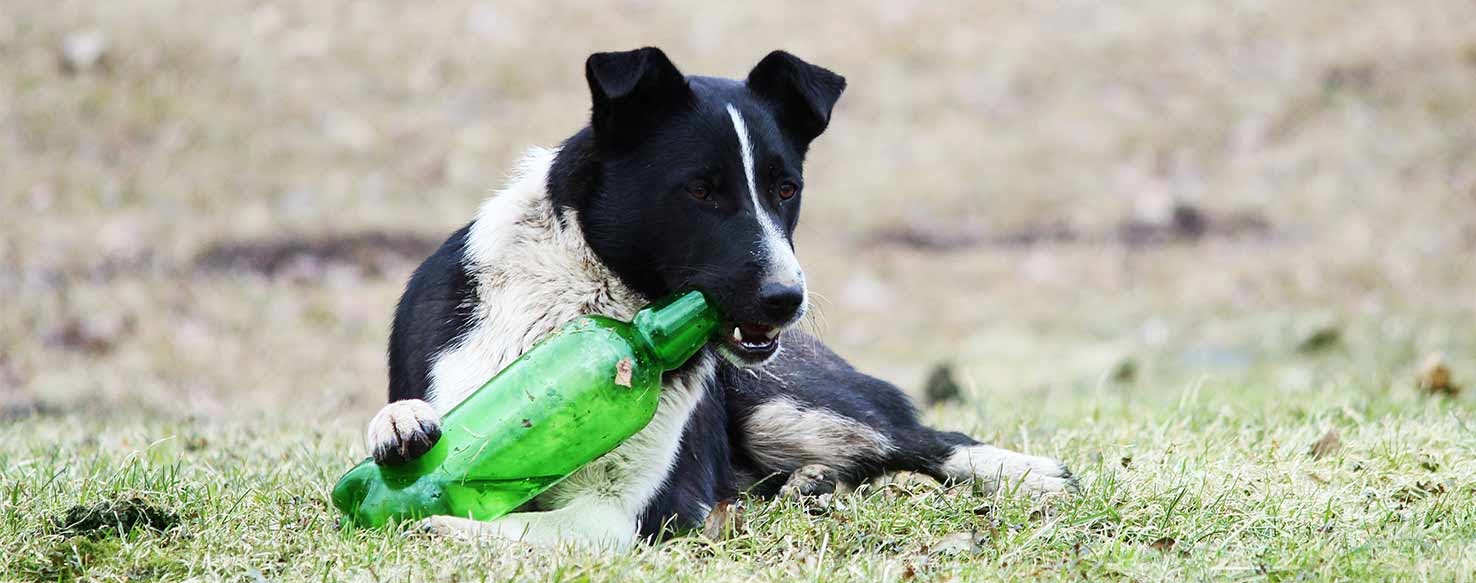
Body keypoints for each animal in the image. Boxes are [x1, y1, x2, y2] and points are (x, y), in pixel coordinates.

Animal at [361, 47, 1068, 549]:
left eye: (787, 188)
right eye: (700, 190)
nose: (787, 299)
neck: (592, 298)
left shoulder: (638, 510)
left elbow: (547, 530)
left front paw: (443, 524)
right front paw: (400, 434)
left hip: (782, 405)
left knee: (923, 439)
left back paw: (1025, 473)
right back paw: (807, 486)